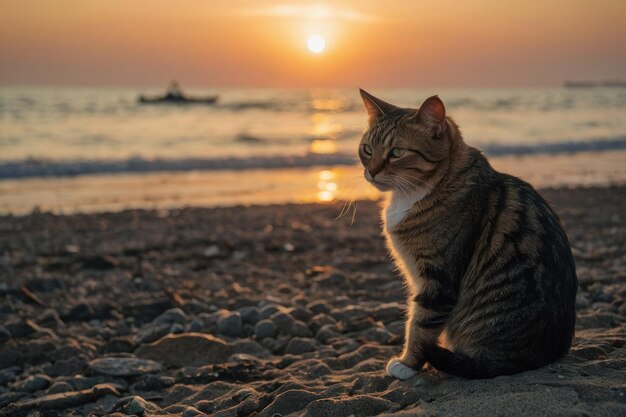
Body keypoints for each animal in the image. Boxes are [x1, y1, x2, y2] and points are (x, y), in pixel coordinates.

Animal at [356, 89, 576, 378]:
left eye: (397, 152)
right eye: (367, 149)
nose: (371, 171)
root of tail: (535, 357)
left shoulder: (439, 279)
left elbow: (420, 325)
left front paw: (407, 363)